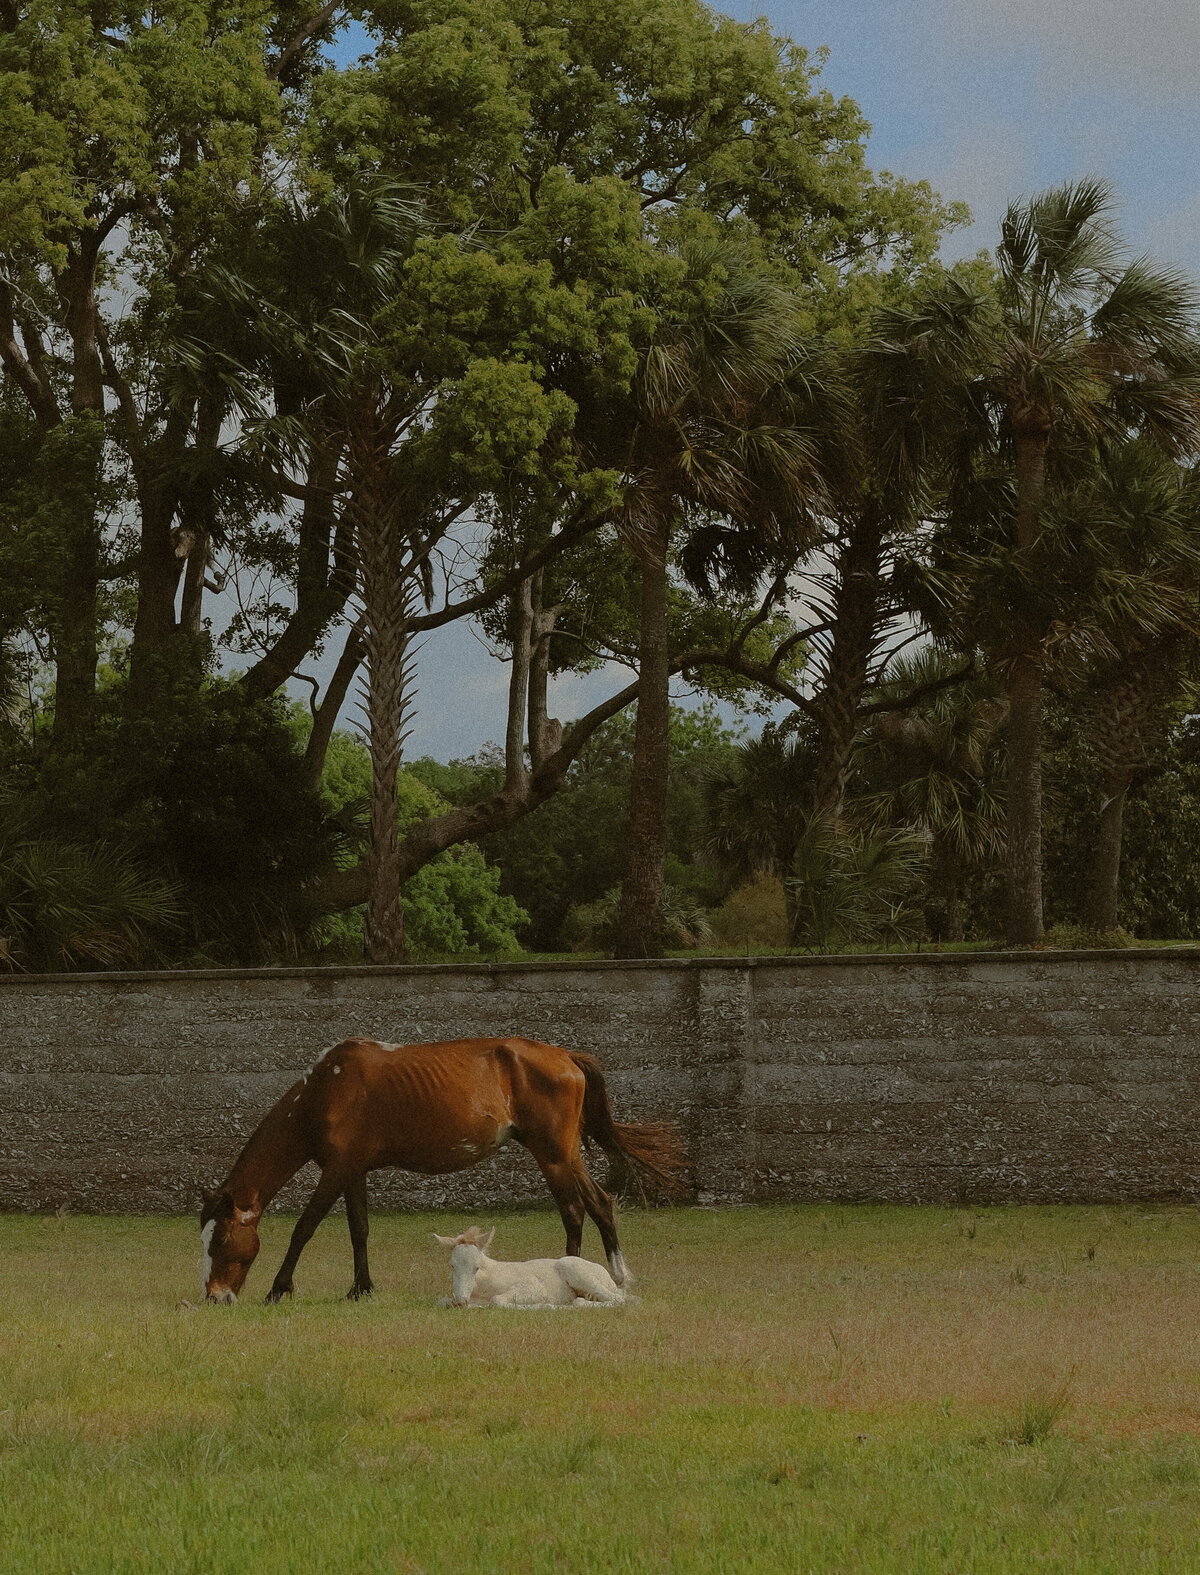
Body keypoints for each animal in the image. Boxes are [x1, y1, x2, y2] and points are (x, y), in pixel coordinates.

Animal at [434, 1225, 629, 1308]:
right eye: (452, 1265)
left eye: (476, 1267)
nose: (460, 1300)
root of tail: (609, 1279)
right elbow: (442, 1301)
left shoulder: (533, 1288)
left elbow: (497, 1300)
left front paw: (545, 1305)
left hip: (578, 1273)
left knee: (619, 1299)